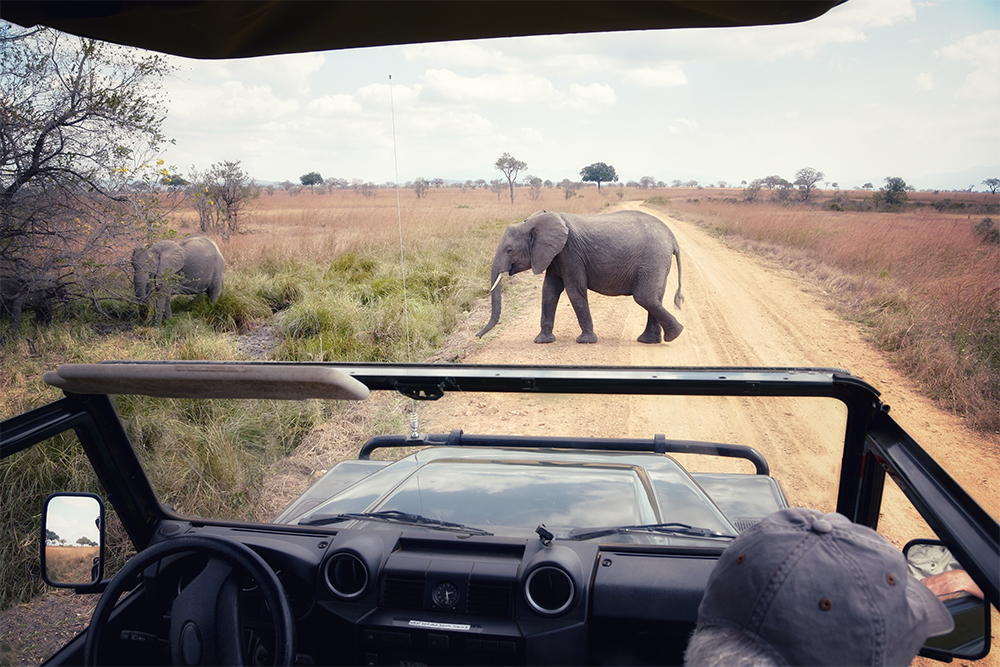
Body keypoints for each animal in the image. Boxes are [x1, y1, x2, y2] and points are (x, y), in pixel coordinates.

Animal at [474, 209, 680, 344]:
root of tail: (672, 238)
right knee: (655, 297)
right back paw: (650, 340)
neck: (535, 222)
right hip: (657, 261)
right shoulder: (555, 255)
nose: (477, 336)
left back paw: (674, 335)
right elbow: (549, 291)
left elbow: (574, 290)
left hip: (653, 258)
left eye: (509, 250)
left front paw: (585, 341)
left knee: (644, 297)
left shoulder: (570, 252)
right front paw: (542, 341)